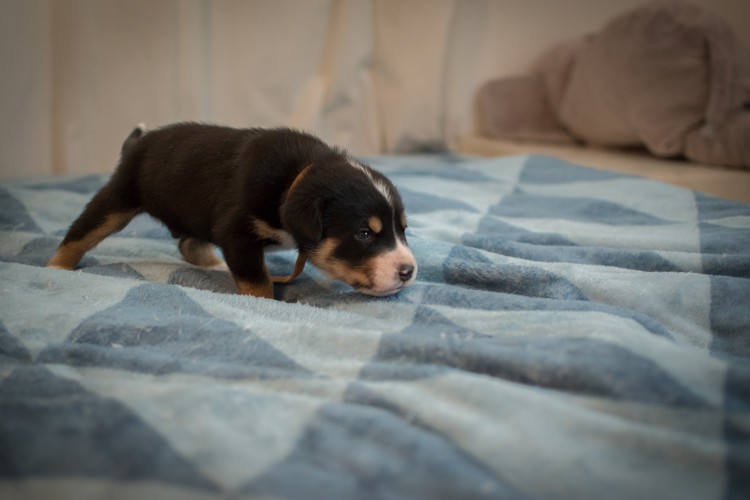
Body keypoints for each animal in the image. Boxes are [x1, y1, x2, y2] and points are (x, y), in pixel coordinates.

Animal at [47, 123, 417, 299]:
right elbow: (257, 282)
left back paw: (214, 264)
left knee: (188, 243)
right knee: (81, 232)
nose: (409, 271)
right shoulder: (237, 232)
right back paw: (55, 268)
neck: (292, 181)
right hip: (118, 197)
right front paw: (265, 304)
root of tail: (136, 143)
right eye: (364, 233)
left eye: (403, 230)